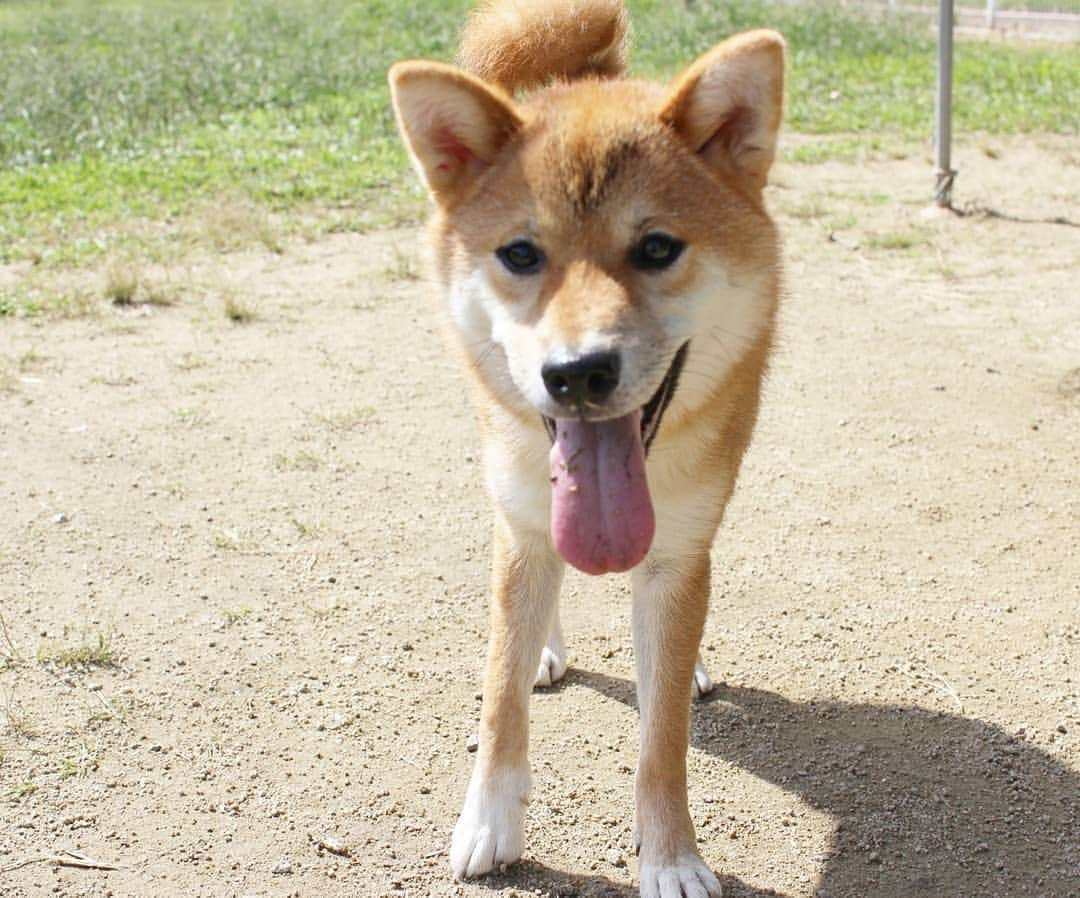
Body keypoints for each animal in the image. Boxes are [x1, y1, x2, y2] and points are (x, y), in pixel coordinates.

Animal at [393, 1, 781, 898]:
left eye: (658, 248)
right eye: (520, 253)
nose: (576, 373)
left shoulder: (680, 554)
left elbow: (661, 738)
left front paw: (671, 857)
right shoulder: (522, 524)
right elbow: (500, 690)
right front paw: (489, 822)